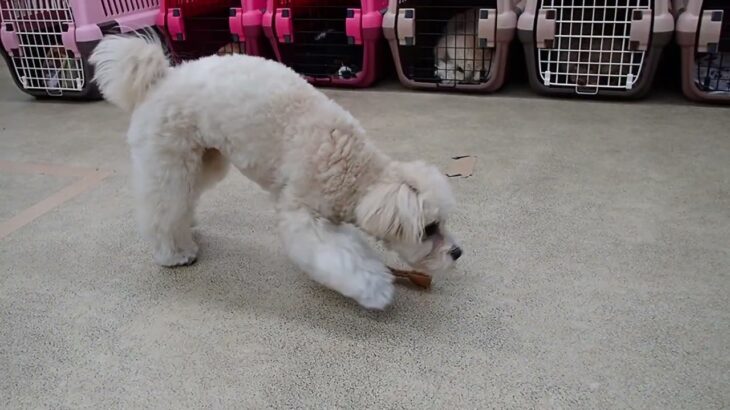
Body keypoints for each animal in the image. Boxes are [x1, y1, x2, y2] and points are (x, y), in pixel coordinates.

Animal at [88, 35, 458, 310]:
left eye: (443, 222)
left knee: (183, 201)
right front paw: (375, 288)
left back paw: (187, 228)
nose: (457, 253)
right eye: (429, 228)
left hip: (205, 161)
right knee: (161, 210)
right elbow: (340, 259)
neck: (354, 169)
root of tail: (160, 79)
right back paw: (174, 252)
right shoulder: (304, 215)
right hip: (171, 161)